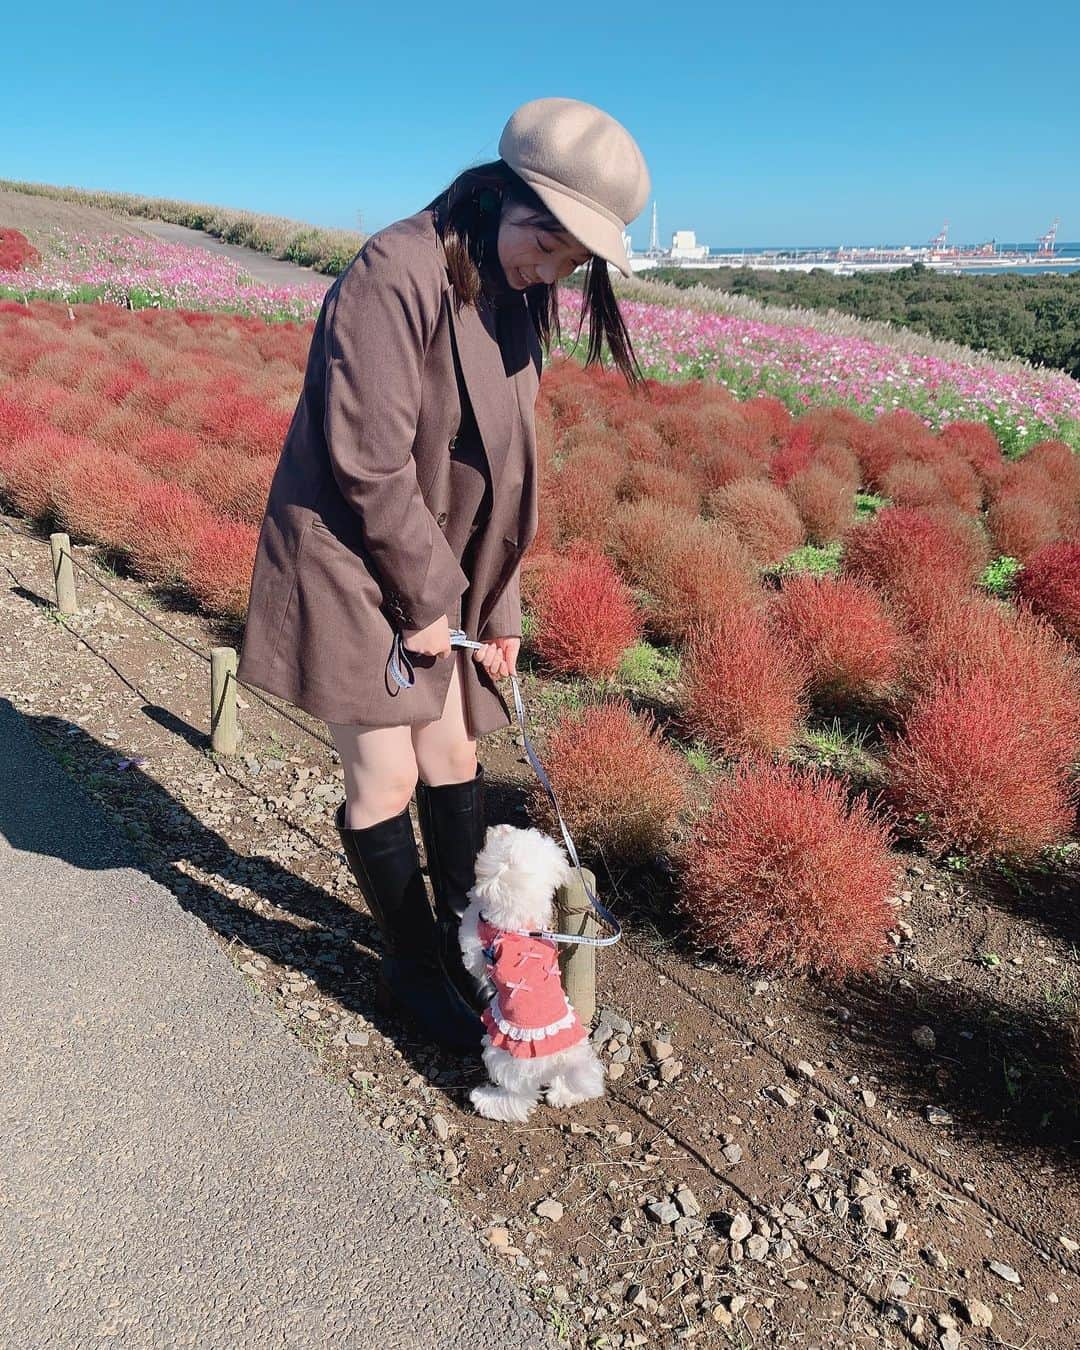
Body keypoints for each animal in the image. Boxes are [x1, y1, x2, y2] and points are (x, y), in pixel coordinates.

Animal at [459, 820, 607, 1117]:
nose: (496, 825)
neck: (522, 923)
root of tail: (557, 1060)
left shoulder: (476, 945)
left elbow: (472, 953)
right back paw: (565, 1096)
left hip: (501, 1055)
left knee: (519, 1099)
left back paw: (486, 1100)